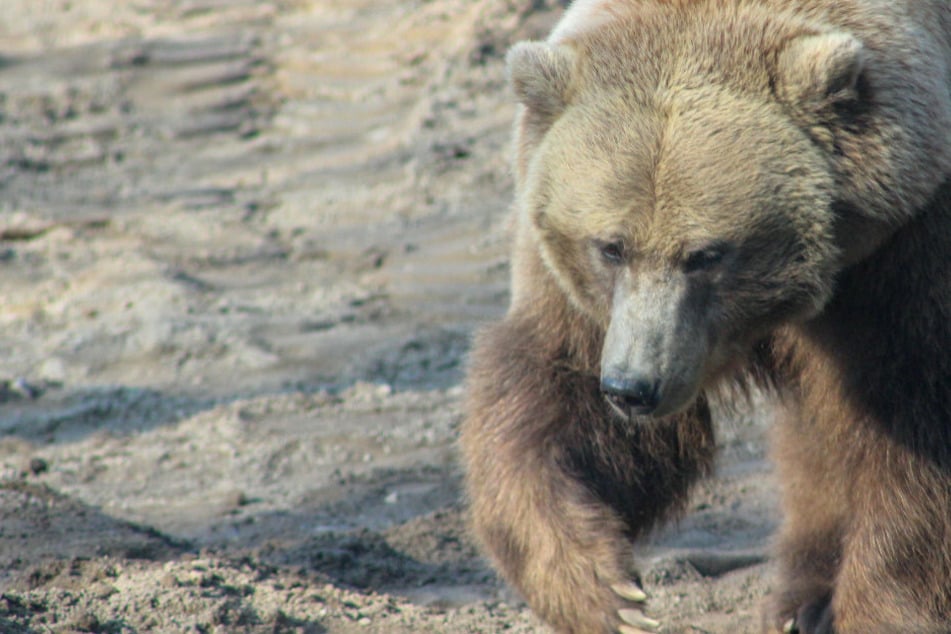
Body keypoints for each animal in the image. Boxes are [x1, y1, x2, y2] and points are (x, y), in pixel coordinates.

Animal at [464, 0, 951, 628]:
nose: (633, 387)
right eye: (611, 247)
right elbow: (554, 396)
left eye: (706, 254)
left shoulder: (907, 245)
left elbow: (913, 422)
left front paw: (875, 607)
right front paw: (605, 589)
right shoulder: (578, 294)